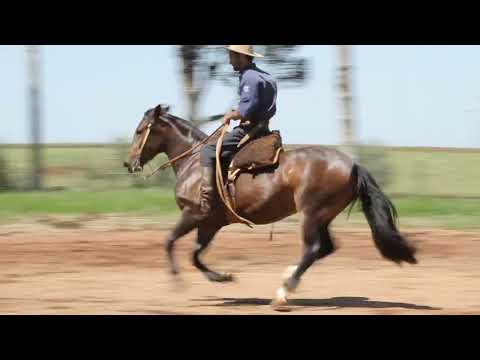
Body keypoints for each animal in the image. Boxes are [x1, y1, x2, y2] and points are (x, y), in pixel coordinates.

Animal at [123, 103, 416, 310]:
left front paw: (176, 280)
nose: (129, 163)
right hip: (323, 216)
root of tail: (352, 165)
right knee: (325, 248)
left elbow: (170, 241)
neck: (193, 161)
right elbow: (195, 255)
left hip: (311, 213)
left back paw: (283, 293)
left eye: (139, 130)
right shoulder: (210, 223)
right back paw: (286, 278)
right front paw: (223, 277)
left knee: (313, 248)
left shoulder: (193, 213)